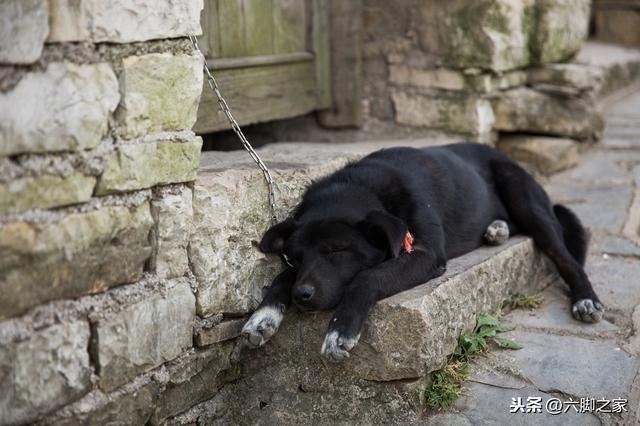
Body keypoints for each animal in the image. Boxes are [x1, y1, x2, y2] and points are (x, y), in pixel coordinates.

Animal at [241, 142, 604, 360]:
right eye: (295, 257)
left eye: (338, 250)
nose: (302, 296)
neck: (363, 186)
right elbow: (281, 278)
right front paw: (262, 317)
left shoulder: (426, 254)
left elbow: (367, 277)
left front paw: (340, 330)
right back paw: (496, 229)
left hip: (525, 200)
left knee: (566, 258)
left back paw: (586, 299)